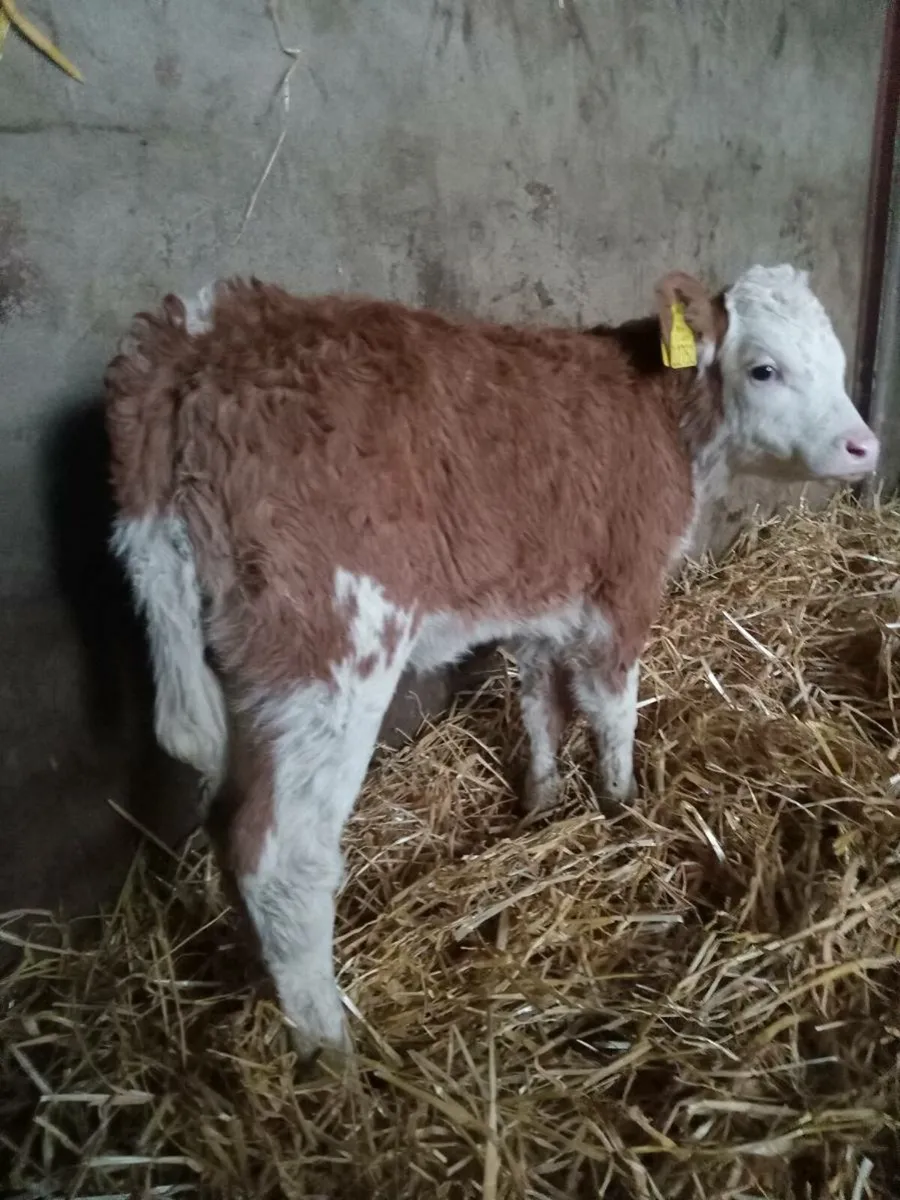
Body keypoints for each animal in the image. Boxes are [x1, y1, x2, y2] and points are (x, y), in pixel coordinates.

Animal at [104, 265, 879, 1059]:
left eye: (838, 361)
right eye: (764, 369)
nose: (863, 446)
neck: (663, 420)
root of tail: (201, 333)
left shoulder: (542, 600)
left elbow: (541, 704)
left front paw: (542, 802)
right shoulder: (625, 583)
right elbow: (613, 708)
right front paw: (624, 805)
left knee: (225, 821)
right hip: (331, 647)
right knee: (280, 857)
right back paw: (334, 1053)